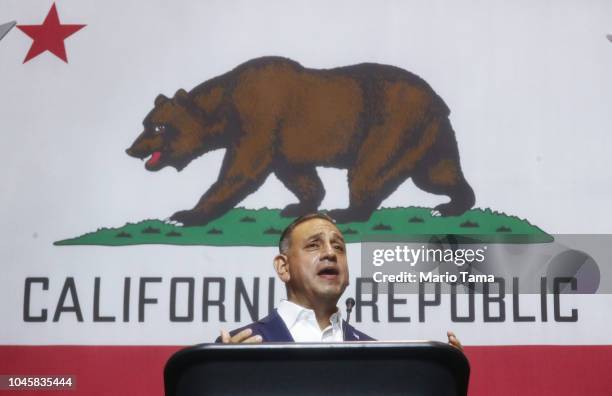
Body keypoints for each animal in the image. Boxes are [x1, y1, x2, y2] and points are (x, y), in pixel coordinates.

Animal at [126, 57, 476, 227]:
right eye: (145, 123)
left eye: (159, 126)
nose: (131, 149)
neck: (224, 104)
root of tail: (438, 101)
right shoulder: (284, 144)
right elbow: (298, 174)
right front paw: (298, 206)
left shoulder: (260, 117)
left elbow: (239, 171)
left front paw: (184, 215)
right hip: (430, 137)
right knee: (437, 174)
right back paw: (450, 205)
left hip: (392, 124)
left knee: (369, 170)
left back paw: (346, 212)